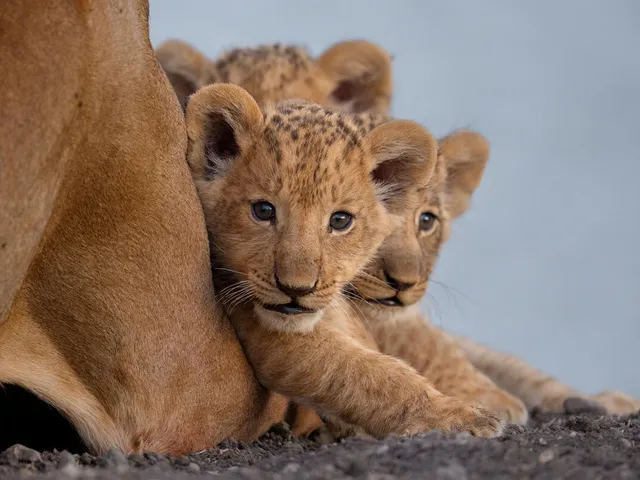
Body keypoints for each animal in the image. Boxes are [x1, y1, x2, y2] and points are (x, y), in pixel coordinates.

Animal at [184, 83, 504, 438]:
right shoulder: (274, 339)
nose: (297, 289)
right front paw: (463, 417)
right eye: (263, 211)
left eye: (340, 221)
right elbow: (368, 374)